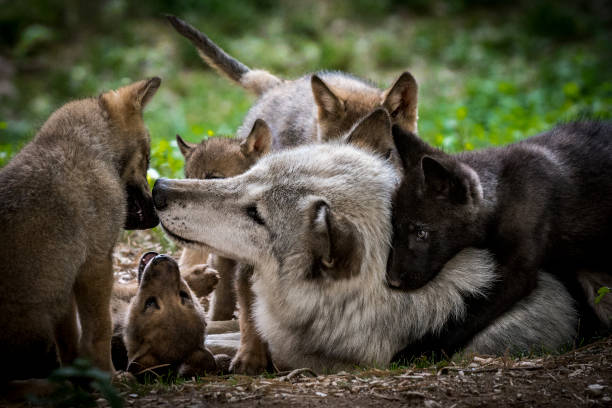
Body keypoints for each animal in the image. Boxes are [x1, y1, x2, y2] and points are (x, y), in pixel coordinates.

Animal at [0, 76, 160, 382]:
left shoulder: (66, 280)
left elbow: (71, 341)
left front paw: (80, 377)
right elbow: (99, 331)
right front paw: (110, 378)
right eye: (146, 159)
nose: (157, 216)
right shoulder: (96, 265)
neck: (88, 147)